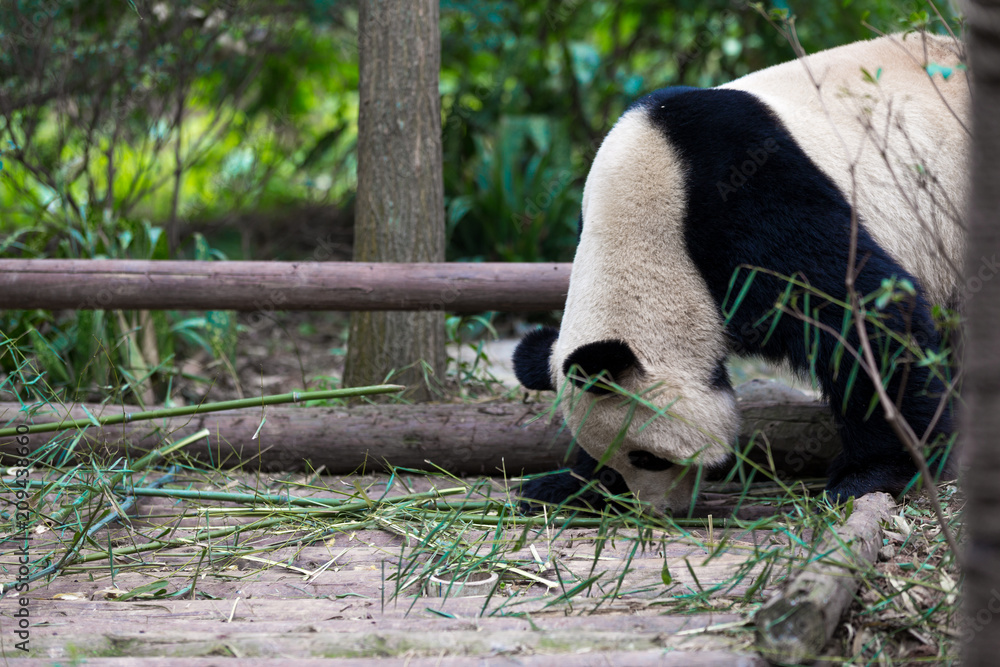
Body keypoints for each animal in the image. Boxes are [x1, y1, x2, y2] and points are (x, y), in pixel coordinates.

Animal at [512, 31, 964, 516]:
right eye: (619, 460)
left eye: (648, 457)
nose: (660, 510)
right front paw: (566, 485)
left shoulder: (743, 192)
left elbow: (859, 312)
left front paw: (872, 472)